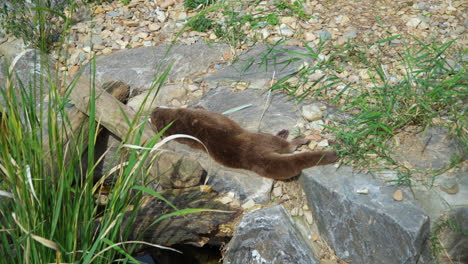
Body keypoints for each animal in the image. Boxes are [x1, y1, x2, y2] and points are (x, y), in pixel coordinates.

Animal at [152, 106, 338, 179]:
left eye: (154, 113)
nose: (153, 109)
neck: (180, 122)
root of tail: (254, 155)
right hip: (263, 138)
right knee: (286, 147)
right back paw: (294, 137)